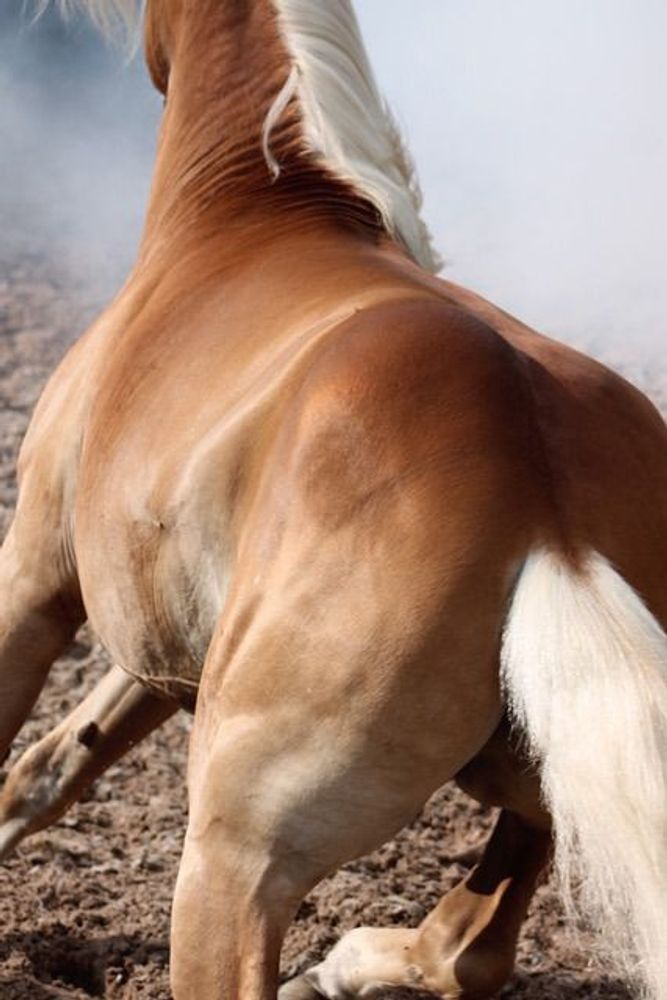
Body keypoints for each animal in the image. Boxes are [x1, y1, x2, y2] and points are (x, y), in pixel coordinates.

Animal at [1, 1, 666, 998]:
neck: (254, 217)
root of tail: (549, 510)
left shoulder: (39, 580)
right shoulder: (167, 648)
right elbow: (53, 765)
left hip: (238, 855)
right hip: (530, 785)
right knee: (471, 944)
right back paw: (344, 966)